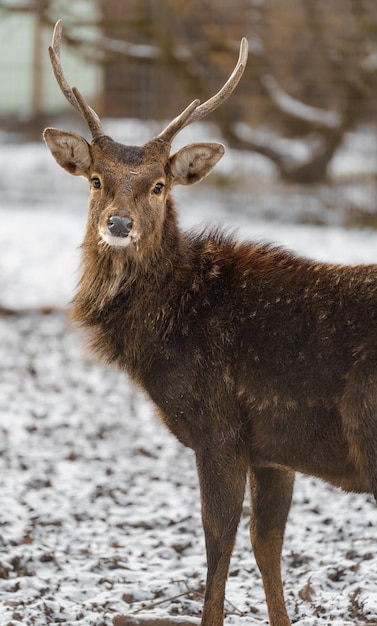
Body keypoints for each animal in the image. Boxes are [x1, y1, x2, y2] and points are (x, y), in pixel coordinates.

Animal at [42, 19, 374, 624]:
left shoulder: (219, 428)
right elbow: (267, 545)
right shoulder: (272, 448)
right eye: (96, 179)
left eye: (159, 184)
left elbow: (218, 541)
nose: (119, 224)